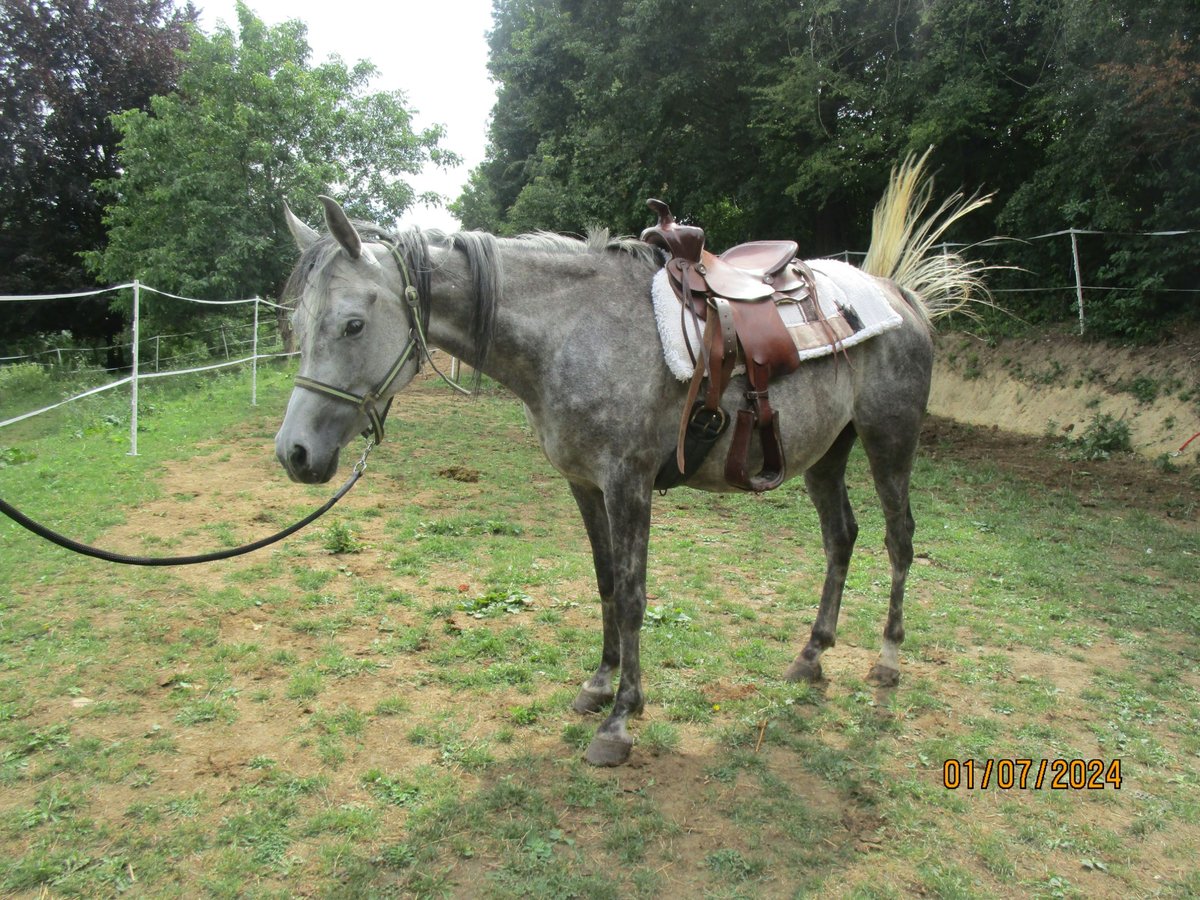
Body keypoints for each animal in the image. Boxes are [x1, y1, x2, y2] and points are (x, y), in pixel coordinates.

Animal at [276, 157, 988, 768]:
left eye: (352, 325)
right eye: (298, 325)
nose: (295, 453)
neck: (574, 331)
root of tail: (897, 295)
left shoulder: (629, 483)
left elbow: (635, 593)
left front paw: (620, 719)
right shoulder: (584, 484)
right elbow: (606, 584)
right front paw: (599, 684)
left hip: (889, 440)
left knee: (899, 540)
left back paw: (888, 659)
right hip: (826, 454)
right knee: (842, 537)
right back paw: (811, 655)